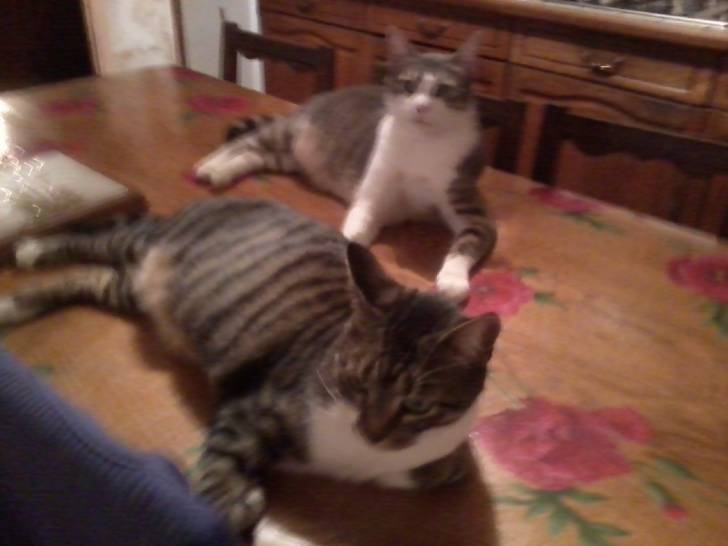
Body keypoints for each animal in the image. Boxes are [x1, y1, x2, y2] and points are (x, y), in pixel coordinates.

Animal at [0, 198, 501, 544]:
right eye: (358, 381)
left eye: (417, 404)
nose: (372, 432)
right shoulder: (249, 407)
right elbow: (217, 476)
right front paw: (231, 506)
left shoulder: (447, 459)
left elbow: (434, 470)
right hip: (139, 244)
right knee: (98, 238)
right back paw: (32, 251)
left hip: (131, 289)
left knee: (91, 279)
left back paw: (22, 299)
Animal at [194, 28, 496, 303]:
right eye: (408, 86)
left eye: (442, 90)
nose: (421, 107)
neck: (422, 145)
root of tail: (312, 101)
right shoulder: (373, 190)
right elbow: (358, 227)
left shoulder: (469, 208)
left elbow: (468, 240)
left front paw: (452, 280)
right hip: (284, 135)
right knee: (242, 143)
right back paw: (209, 167)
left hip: (286, 158)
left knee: (254, 156)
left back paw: (222, 173)